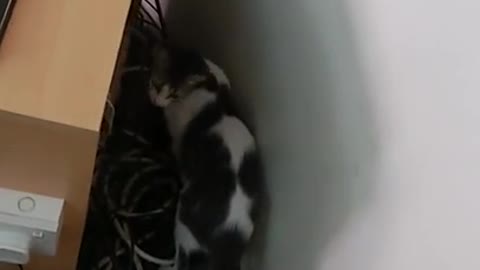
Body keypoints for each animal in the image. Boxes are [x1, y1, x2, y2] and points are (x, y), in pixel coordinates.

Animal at [149, 44, 264, 270]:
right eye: (157, 85)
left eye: (173, 94)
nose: (157, 101)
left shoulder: (177, 139)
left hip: (184, 219)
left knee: (182, 256)